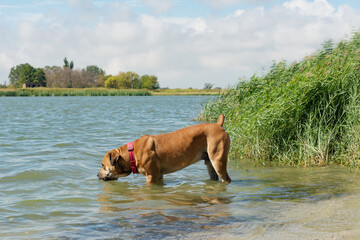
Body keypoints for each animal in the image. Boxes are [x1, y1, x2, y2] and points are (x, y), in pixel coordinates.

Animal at [97, 114, 231, 184]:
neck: (131, 153)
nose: (97, 174)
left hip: (218, 161)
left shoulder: (151, 176)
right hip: (210, 165)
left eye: (103, 165)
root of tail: (218, 125)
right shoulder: (159, 176)